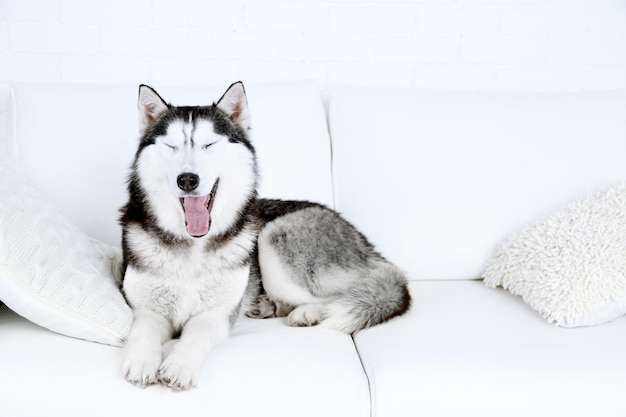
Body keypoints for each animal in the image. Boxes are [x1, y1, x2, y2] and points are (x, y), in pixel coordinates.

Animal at [119, 82, 410, 390]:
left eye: (209, 145)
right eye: (171, 146)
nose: (187, 180)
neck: (193, 248)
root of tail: (360, 237)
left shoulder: (217, 315)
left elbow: (196, 334)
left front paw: (179, 364)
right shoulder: (146, 309)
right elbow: (143, 328)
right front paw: (141, 361)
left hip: (274, 238)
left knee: (348, 295)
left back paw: (307, 312)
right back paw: (269, 306)